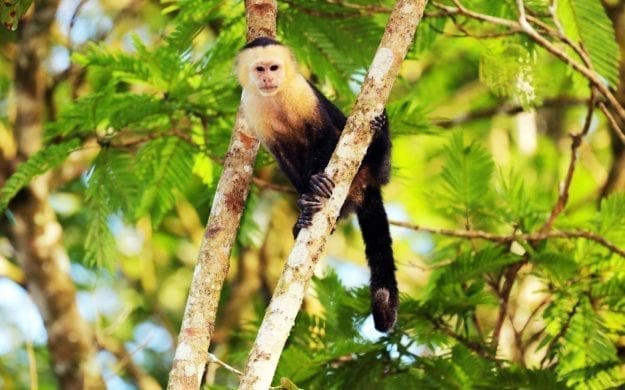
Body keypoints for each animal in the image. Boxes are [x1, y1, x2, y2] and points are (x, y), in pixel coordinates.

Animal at [236, 37, 398, 332]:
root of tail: (364, 187)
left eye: (274, 67)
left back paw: (380, 141)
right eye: (259, 69)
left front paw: (317, 181)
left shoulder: (301, 90)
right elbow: (283, 157)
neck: (275, 98)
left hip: (370, 170)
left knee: (370, 158)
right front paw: (305, 200)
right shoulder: (252, 109)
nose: (268, 78)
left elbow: (322, 133)